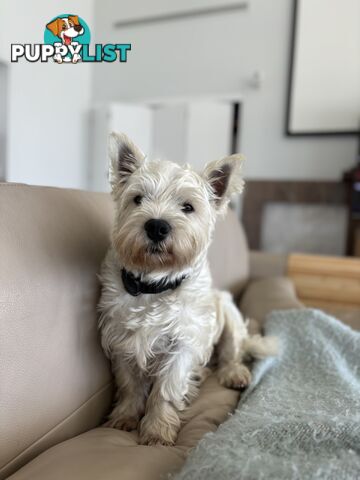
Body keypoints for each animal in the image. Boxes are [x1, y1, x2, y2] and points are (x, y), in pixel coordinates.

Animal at [98, 132, 278, 446]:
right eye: (138, 199)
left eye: (188, 207)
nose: (157, 226)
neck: (154, 284)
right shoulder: (121, 340)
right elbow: (130, 384)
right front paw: (125, 417)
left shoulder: (183, 343)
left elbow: (165, 390)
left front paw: (157, 430)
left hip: (228, 315)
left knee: (232, 352)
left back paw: (233, 373)